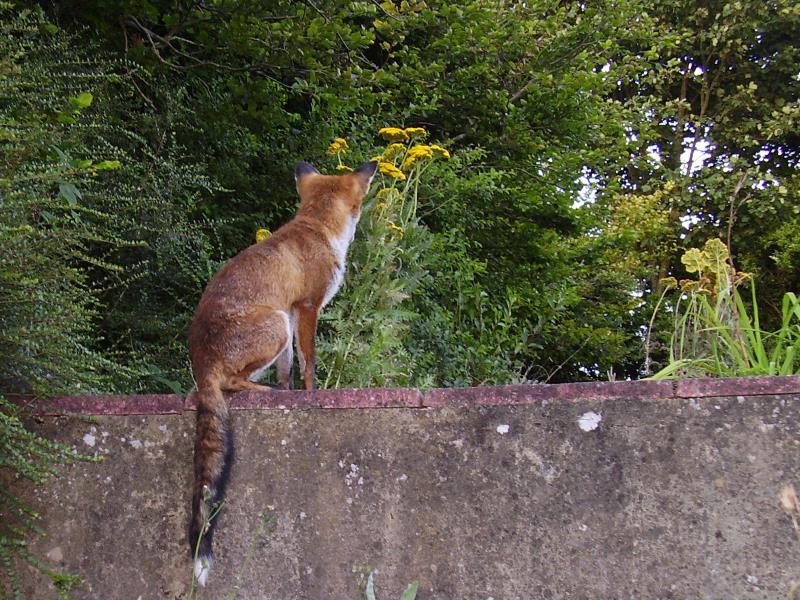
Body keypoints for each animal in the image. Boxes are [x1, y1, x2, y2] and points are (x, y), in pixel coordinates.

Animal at [188, 159, 378, 584]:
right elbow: (309, 363)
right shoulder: (306, 307)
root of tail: (201, 360)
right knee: (231, 384)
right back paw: (263, 393)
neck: (317, 228)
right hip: (273, 323)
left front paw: (291, 392)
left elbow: (289, 368)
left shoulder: (293, 312)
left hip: (277, 324)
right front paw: (309, 395)